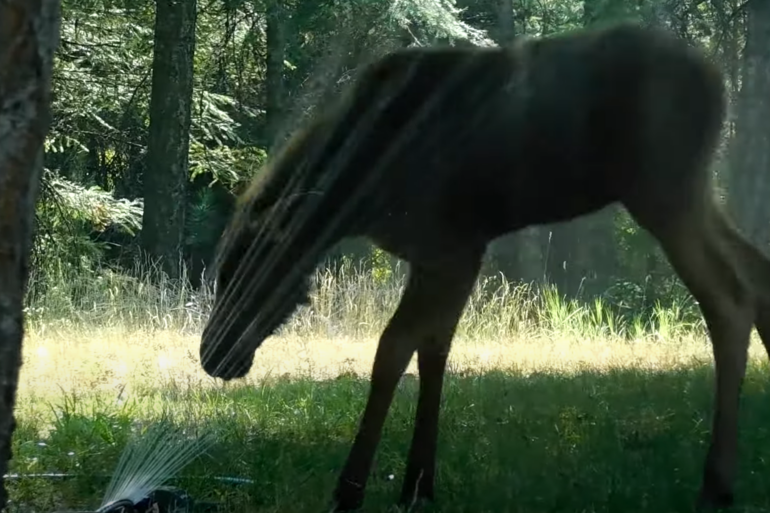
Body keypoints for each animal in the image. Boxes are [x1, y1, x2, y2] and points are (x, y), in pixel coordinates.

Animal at [198, 21, 770, 511]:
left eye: (242, 273)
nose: (212, 355)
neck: (357, 193)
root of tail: (717, 78)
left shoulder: (449, 248)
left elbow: (392, 351)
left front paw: (351, 489)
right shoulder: (447, 253)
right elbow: (434, 351)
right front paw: (418, 482)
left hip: (663, 190)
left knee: (729, 298)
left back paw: (716, 481)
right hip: (691, 191)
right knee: (757, 269)